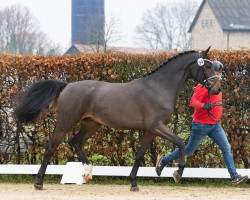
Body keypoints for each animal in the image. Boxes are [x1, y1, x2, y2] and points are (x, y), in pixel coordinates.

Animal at [15, 46, 221, 191]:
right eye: (207, 66)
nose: (216, 89)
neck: (159, 88)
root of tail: (67, 85)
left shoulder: (150, 131)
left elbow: (139, 155)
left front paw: (135, 183)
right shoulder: (157, 127)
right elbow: (180, 142)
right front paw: (178, 173)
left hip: (91, 125)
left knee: (75, 143)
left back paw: (88, 173)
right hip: (66, 122)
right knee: (51, 147)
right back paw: (39, 182)